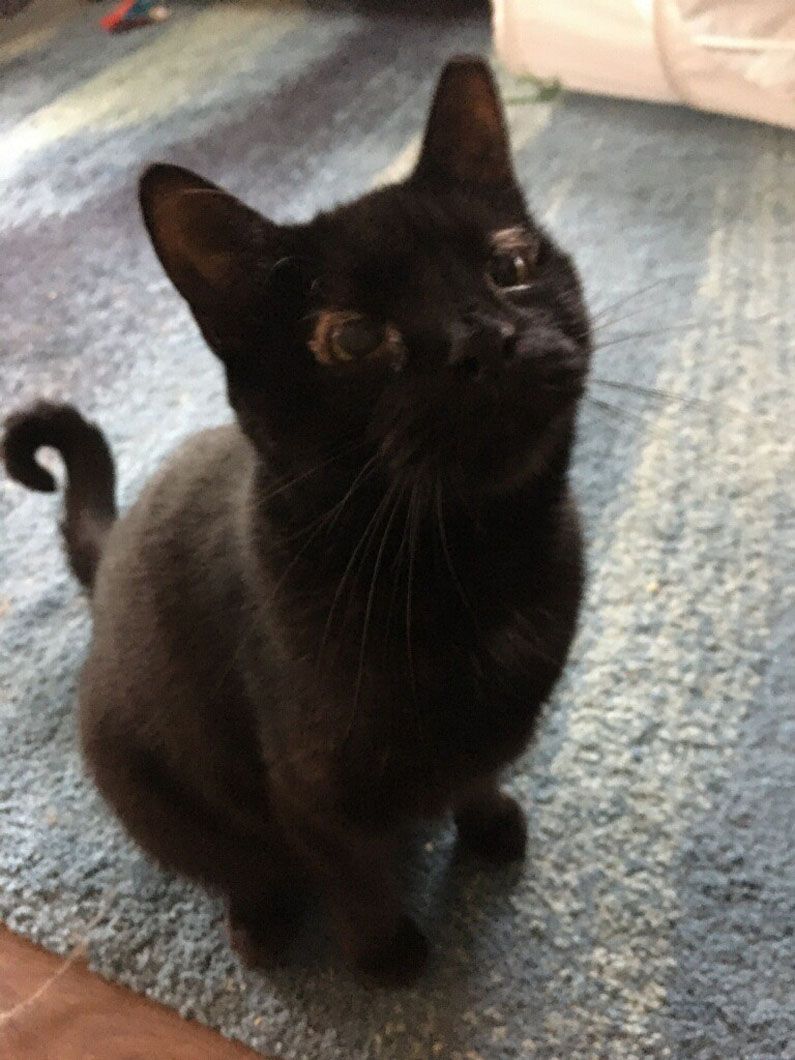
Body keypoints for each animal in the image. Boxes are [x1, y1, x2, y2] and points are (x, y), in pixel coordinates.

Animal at [1, 58, 593, 983]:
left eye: (508, 264)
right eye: (351, 339)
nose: (484, 338)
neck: (475, 557)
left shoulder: (492, 727)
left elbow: (474, 773)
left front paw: (488, 821)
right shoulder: (311, 786)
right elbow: (349, 869)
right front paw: (386, 959)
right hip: (135, 769)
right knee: (231, 859)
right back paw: (261, 922)